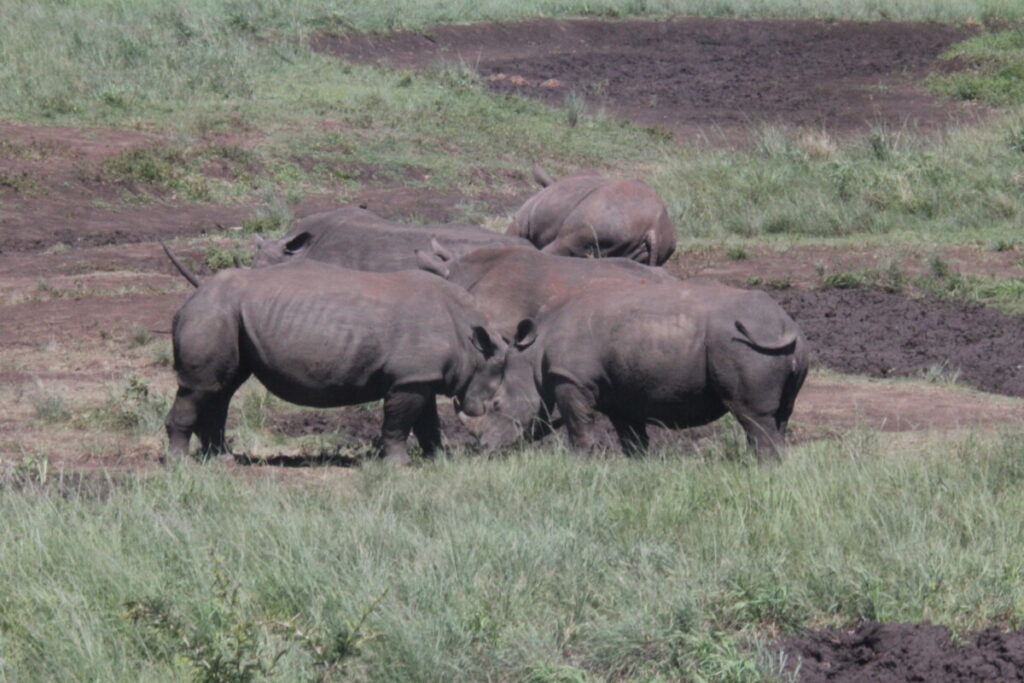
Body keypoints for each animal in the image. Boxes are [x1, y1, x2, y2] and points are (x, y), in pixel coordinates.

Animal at [165, 260, 512, 464]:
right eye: (494, 397)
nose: (476, 409)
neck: (471, 337)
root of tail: (195, 293)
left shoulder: (420, 376)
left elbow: (428, 423)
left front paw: (439, 460)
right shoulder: (411, 378)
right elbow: (399, 423)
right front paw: (398, 466)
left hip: (227, 314)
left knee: (220, 388)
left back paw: (223, 460)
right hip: (212, 313)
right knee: (199, 389)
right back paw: (181, 465)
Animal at [462, 280, 806, 462]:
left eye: (496, 405)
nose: (485, 450)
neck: (533, 351)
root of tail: (784, 323)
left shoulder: (570, 379)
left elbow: (578, 424)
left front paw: (581, 461)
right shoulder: (619, 392)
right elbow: (630, 434)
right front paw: (636, 463)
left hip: (744, 346)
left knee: (752, 415)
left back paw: (762, 467)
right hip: (791, 349)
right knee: (782, 413)